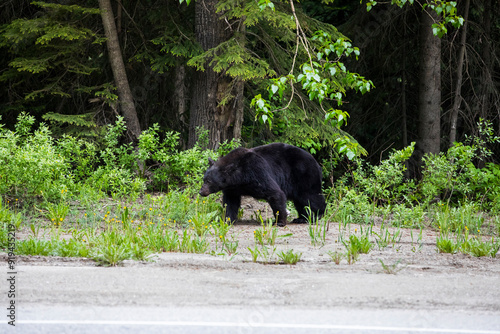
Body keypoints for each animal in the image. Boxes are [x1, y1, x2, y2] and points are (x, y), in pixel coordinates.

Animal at [199, 142, 328, 226]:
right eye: (204, 179)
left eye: (208, 181)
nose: (201, 192)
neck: (239, 177)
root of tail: (317, 164)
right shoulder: (233, 189)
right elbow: (230, 203)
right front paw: (227, 220)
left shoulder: (256, 171)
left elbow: (275, 193)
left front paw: (280, 221)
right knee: (300, 201)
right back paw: (301, 218)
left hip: (304, 176)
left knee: (310, 196)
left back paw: (317, 215)